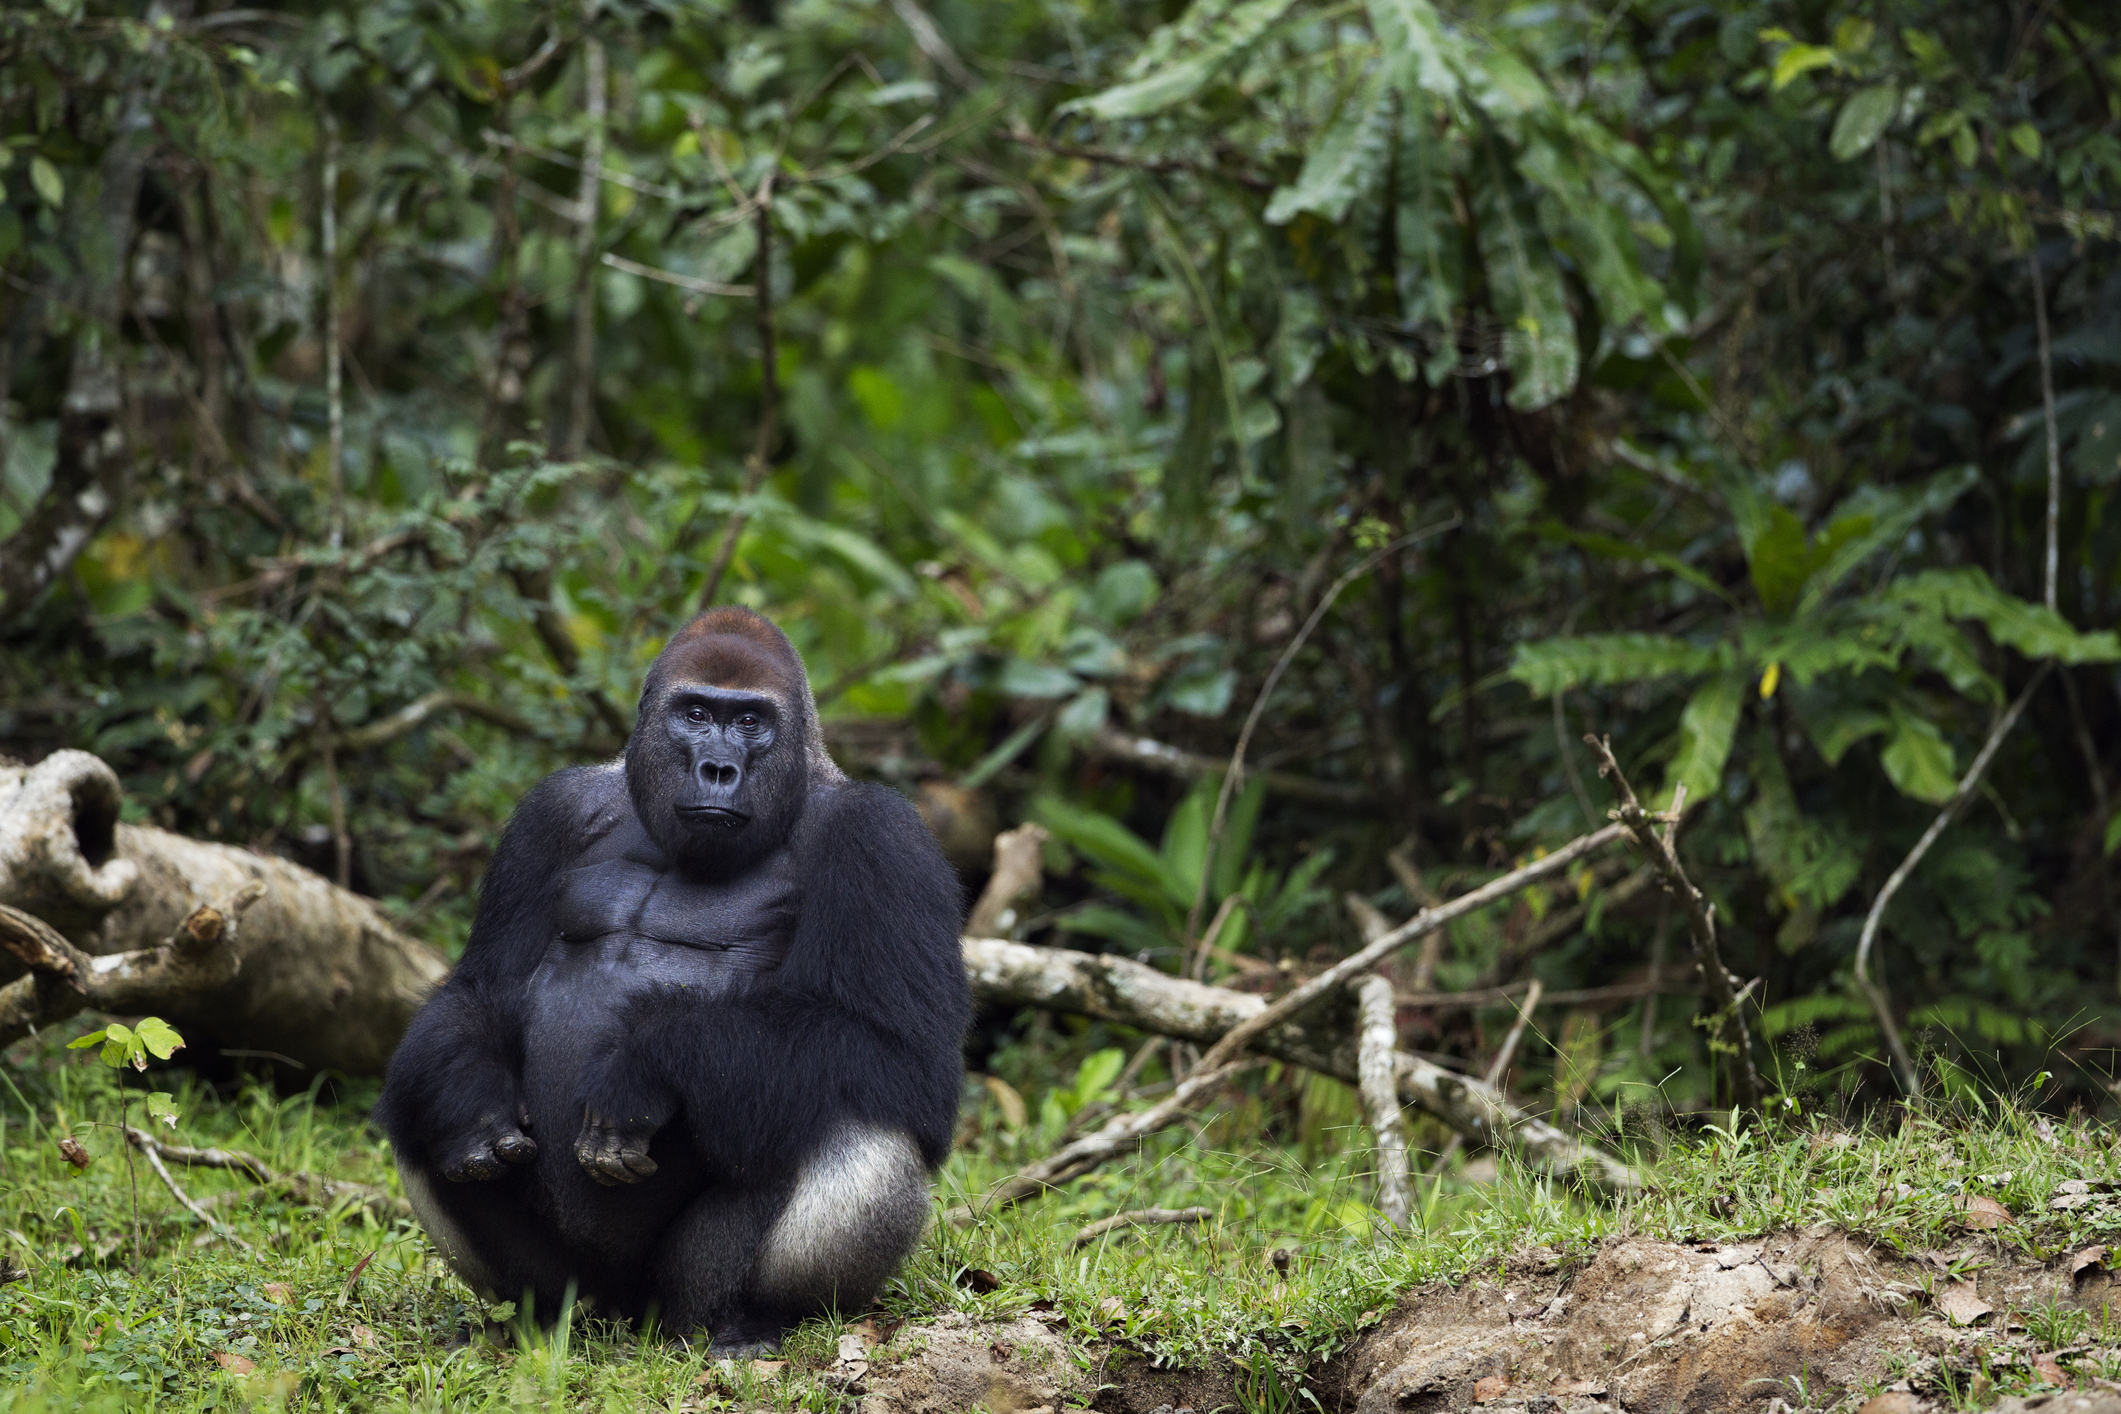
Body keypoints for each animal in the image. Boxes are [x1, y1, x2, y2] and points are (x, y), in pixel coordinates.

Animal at [375, 608, 969, 1352]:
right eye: (695, 713)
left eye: (750, 721)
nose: (718, 769)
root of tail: (627, 1312)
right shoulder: (551, 811)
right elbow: (481, 992)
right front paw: (469, 1096)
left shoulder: (886, 839)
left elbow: (900, 1055)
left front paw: (646, 1063)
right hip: (579, 1289)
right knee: (414, 1101)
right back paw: (531, 1318)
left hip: (680, 1296)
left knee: (859, 1117)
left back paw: (747, 1318)